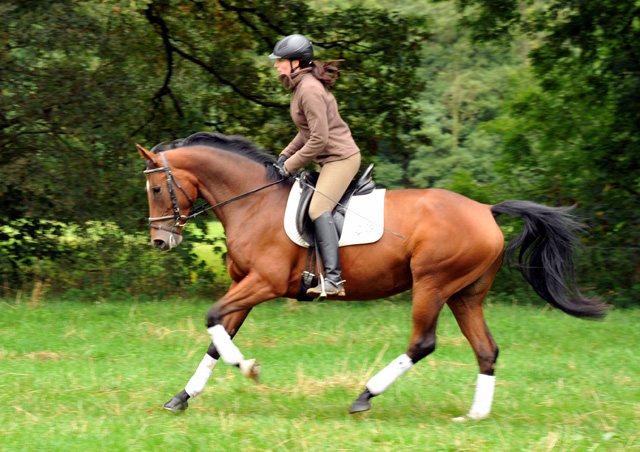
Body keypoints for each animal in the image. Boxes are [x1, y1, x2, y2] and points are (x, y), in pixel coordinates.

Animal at [138, 131, 608, 420]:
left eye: (157, 189)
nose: (161, 241)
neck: (252, 202)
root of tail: (485, 210)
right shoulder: (244, 286)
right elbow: (218, 335)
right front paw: (182, 397)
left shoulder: (262, 284)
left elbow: (213, 320)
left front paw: (248, 367)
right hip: (465, 294)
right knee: (486, 349)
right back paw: (475, 415)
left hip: (433, 284)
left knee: (423, 342)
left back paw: (364, 396)